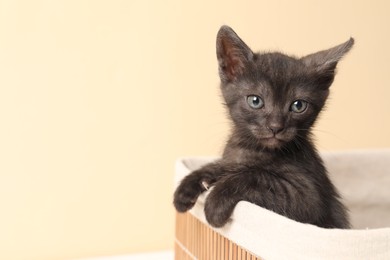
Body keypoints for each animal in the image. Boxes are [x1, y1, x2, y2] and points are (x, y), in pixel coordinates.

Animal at [174, 25, 354, 229]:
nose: (275, 127)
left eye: (298, 105)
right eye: (255, 101)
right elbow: (224, 165)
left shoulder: (309, 199)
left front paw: (215, 203)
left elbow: (255, 175)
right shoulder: (233, 158)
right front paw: (188, 185)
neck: (254, 149)